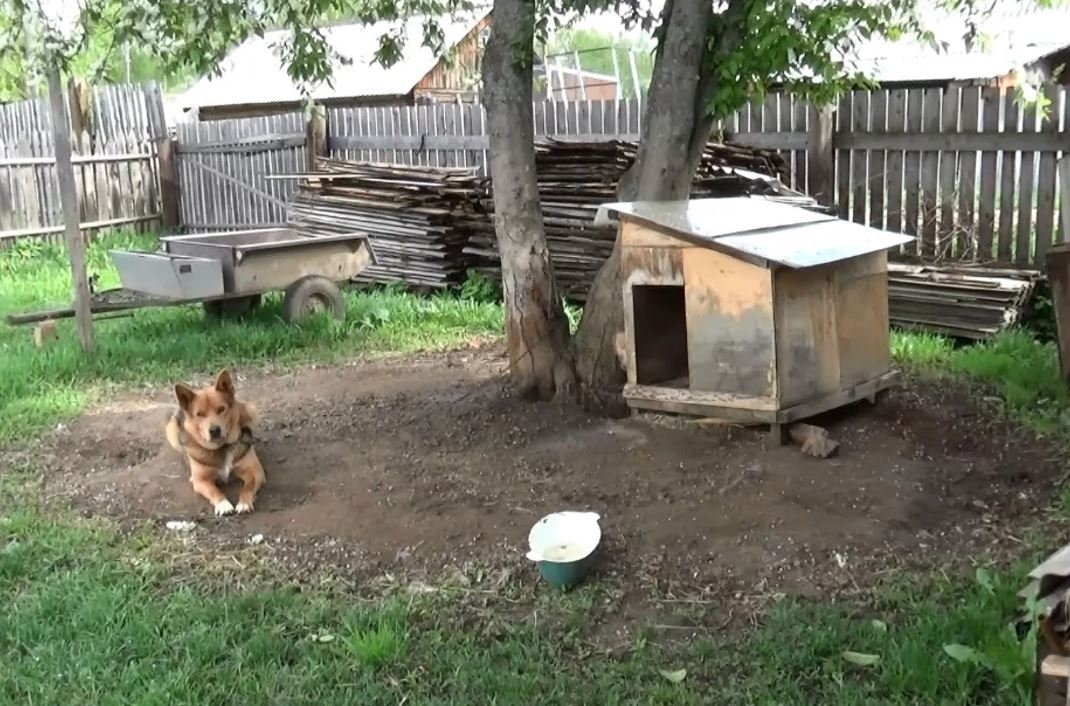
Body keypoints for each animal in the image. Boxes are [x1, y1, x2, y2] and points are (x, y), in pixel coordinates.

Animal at [165, 369, 265, 516]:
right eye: (199, 414)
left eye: (221, 409)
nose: (214, 430)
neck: (221, 447)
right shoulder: (201, 480)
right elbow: (214, 490)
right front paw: (223, 505)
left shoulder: (255, 471)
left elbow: (248, 486)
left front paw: (244, 503)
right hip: (171, 430)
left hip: (251, 409)